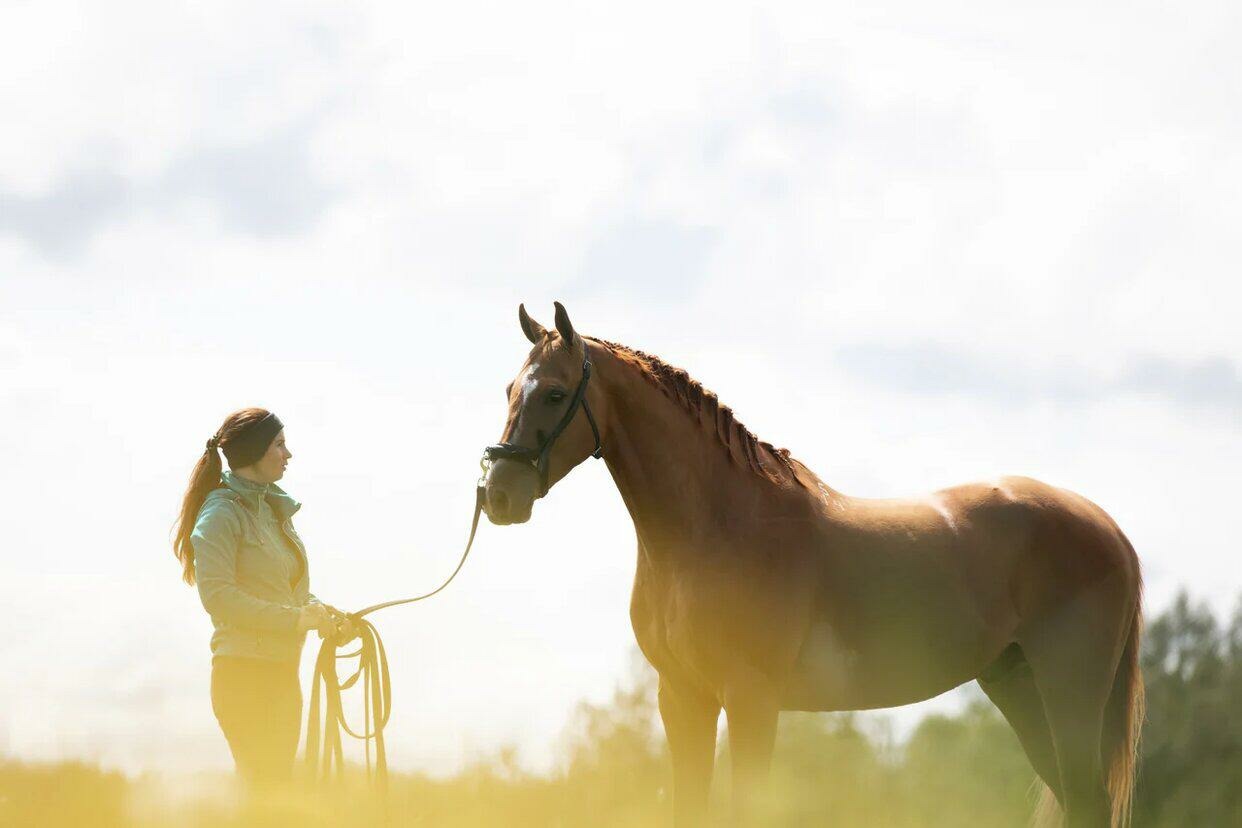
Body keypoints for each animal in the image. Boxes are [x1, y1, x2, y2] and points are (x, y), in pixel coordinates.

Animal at [481, 302, 1143, 828]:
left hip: (1068, 693)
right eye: (510, 389)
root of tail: (1110, 529)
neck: (717, 523)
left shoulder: (751, 699)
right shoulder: (683, 698)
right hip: (1018, 688)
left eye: (556, 393)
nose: (498, 495)